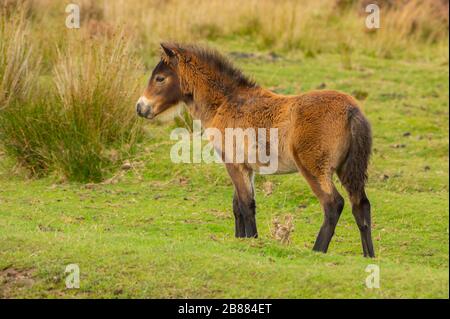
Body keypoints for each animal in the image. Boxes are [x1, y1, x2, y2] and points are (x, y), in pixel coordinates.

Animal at [135, 43, 374, 258]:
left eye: (160, 78)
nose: (141, 108)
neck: (226, 102)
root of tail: (352, 110)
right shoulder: (245, 167)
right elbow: (238, 205)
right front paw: (240, 239)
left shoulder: (233, 164)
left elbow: (246, 204)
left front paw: (252, 241)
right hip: (346, 169)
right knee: (361, 205)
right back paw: (368, 255)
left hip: (314, 168)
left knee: (333, 204)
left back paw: (317, 251)